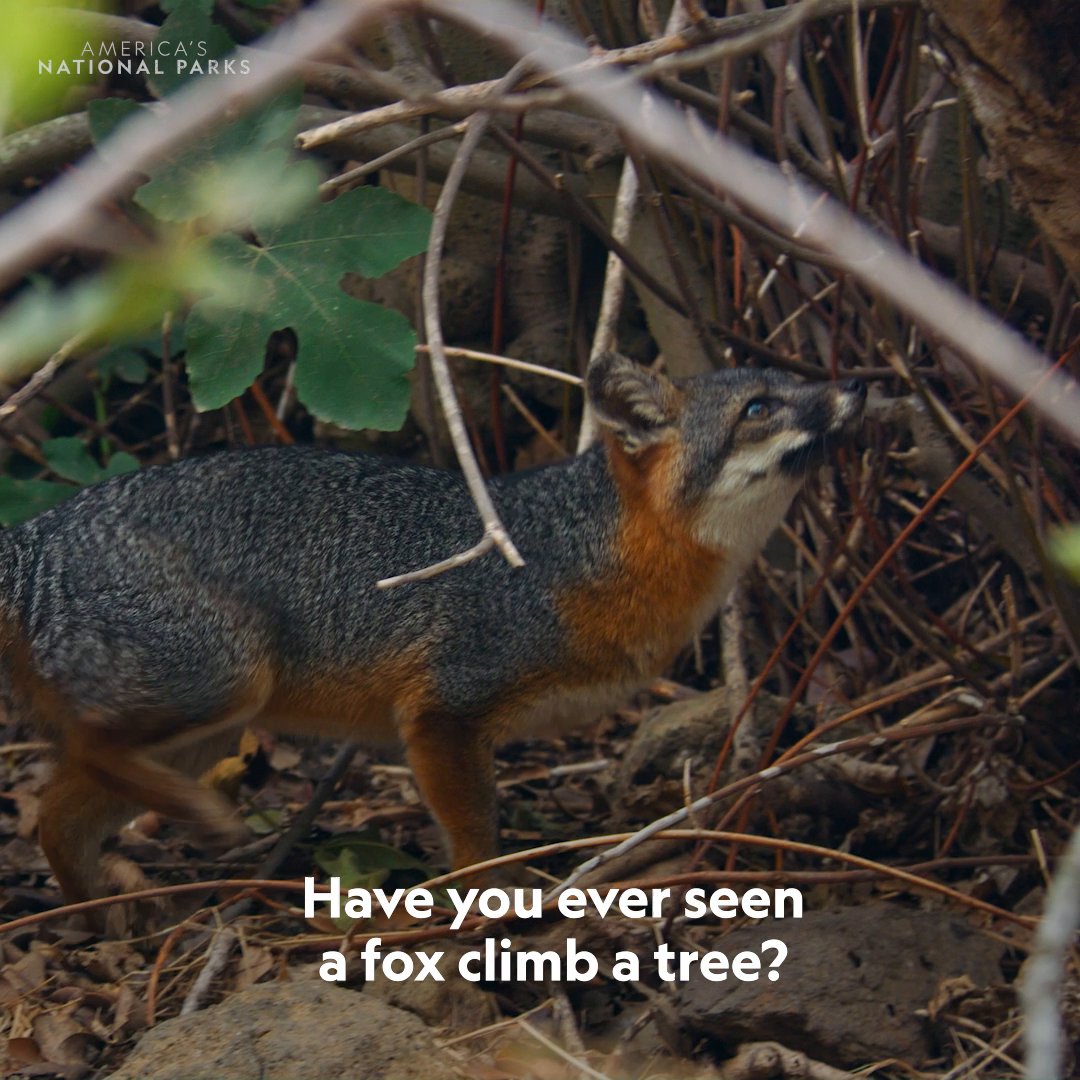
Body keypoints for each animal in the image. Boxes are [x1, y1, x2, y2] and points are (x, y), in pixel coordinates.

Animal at [0, 352, 864, 920]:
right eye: (759, 408)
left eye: (798, 380)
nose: (857, 383)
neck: (586, 552)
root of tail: (43, 530)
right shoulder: (444, 711)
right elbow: (477, 830)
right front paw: (488, 903)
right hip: (223, 688)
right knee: (83, 755)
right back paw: (196, 826)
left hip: (208, 728)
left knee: (56, 815)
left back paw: (94, 923)